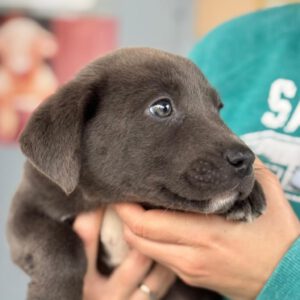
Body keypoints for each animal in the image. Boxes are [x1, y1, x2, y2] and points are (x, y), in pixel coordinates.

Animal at [6, 48, 264, 298]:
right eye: (162, 107)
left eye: (218, 109)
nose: (245, 159)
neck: (112, 201)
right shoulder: (26, 209)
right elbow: (58, 243)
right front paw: (54, 292)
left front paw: (250, 195)